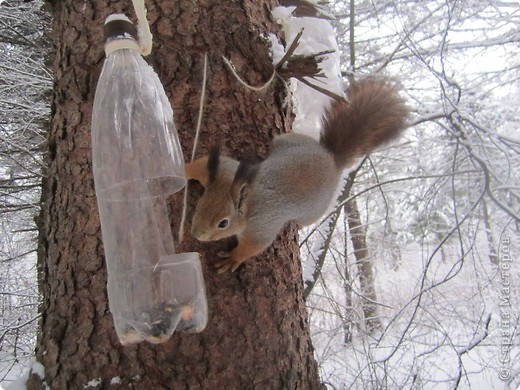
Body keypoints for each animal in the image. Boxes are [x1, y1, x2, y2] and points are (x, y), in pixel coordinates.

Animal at [185, 75, 408, 272]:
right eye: (200, 204)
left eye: (223, 223)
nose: (196, 234)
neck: (248, 200)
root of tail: (331, 158)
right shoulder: (226, 170)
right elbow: (201, 165)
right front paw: (182, 169)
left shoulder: (262, 225)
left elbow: (254, 247)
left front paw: (233, 258)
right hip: (287, 139)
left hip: (314, 211)